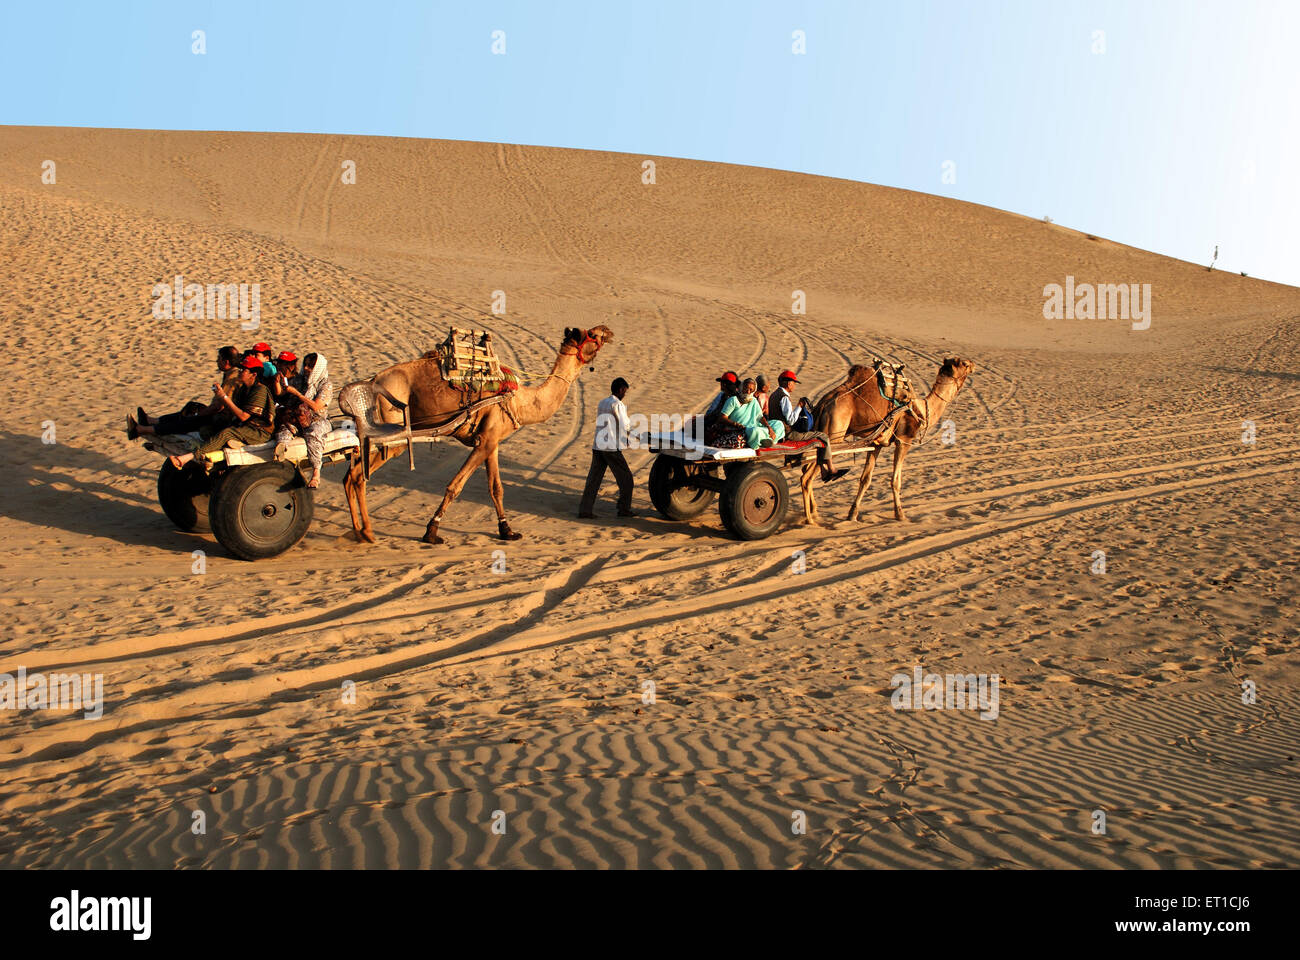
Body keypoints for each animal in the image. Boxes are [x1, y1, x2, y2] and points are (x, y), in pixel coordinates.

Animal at [340, 325, 613, 541]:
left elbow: (496, 487)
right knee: (359, 474)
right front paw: (431, 531)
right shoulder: (484, 441)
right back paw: (367, 532)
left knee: (350, 474)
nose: (608, 330)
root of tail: (373, 381)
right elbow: (455, 486)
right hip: (393, 432)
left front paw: (507, 531)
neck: (520, 401)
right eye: (592, 334)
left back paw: (358, 530)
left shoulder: (492, 441)